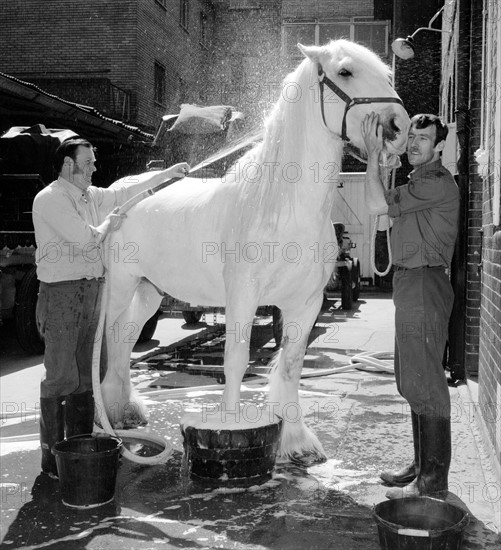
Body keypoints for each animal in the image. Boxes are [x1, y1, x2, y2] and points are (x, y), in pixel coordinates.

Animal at [101, 40, 410, 462]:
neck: (281, 206)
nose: (400, 128)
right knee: (107, 340)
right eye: (345, 72)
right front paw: (230, 427)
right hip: (119, 287)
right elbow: (236, 360)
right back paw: (107, 418)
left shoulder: (307, 302)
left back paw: (125, 412)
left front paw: (297, 442)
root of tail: (124, 195)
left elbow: (292, 364)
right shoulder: (243, 296)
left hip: (149, 292)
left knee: (124, 339)